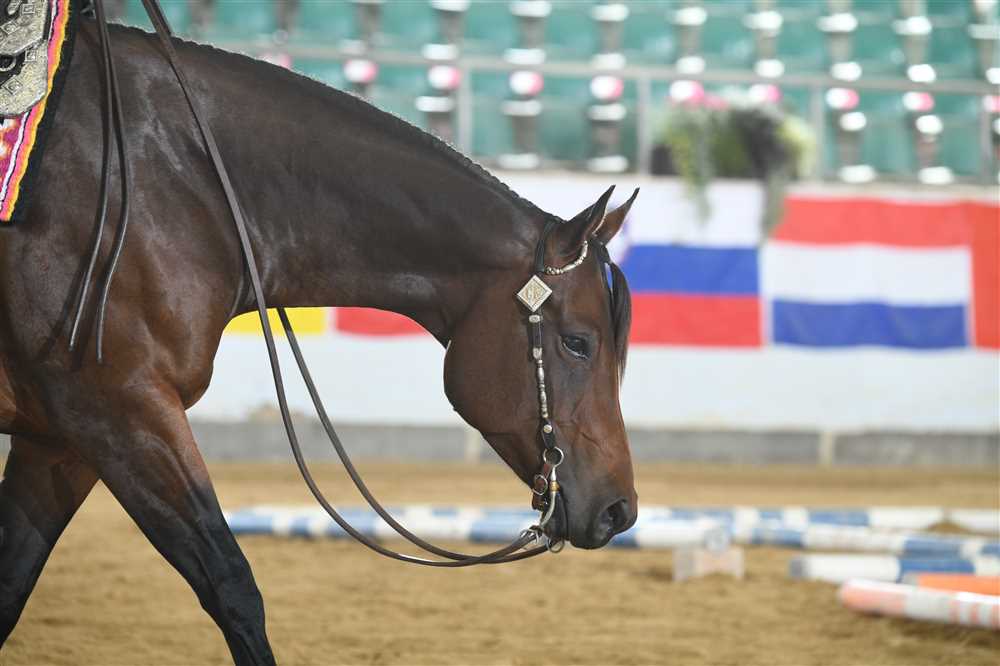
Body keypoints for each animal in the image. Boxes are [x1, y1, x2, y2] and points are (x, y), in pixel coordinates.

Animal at [0, 18, 639, 665]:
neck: (184, 185)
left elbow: (11, 584)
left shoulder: (61, 442)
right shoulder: (121, 411)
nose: (620, 509)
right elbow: (231, 582)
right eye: (578, 343)